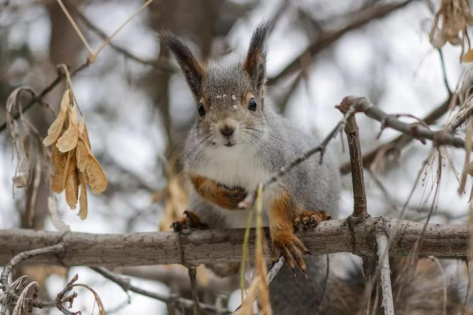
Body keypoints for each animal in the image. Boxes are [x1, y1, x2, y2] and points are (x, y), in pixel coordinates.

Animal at [160, 24, 462, 314]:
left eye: (252, 104)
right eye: (201, 109)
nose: (226, 129)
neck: (234, 154)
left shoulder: (283, 168)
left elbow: (282, 201)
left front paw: (283, 235)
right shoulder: (196, 161)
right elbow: (200, 183)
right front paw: (225, 196)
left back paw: (310, 217)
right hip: (207, 211)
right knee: (229, 264)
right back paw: (194, 223)